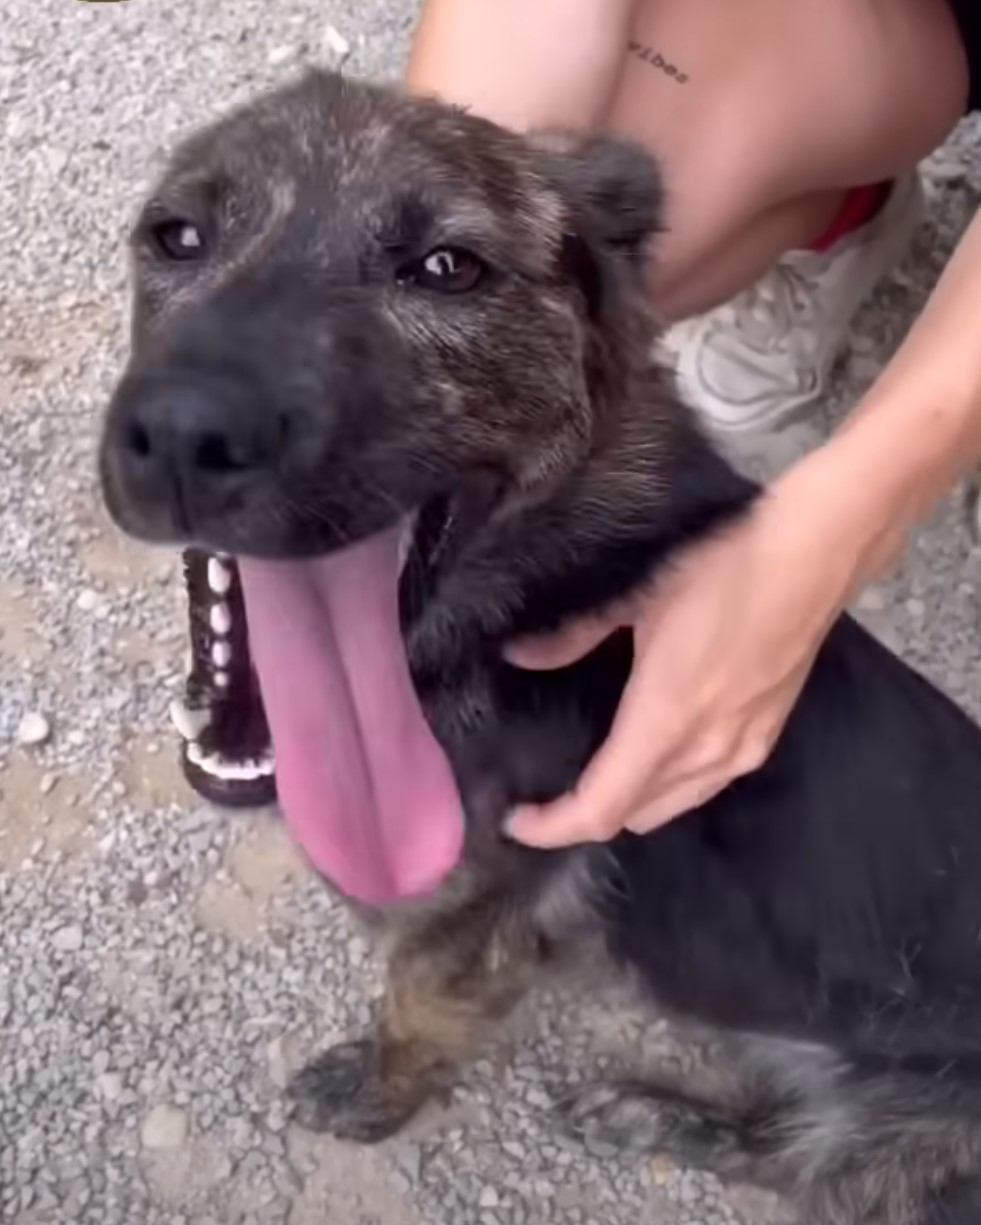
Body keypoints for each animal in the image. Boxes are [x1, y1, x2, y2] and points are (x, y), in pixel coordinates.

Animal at [99, 69, 981, 1225]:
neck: (514, 610)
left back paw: (653, 1112)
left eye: (447, 267)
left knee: (801, 1160)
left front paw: (375, 1095)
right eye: (178, 235)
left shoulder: (472, 930)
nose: (183, 434)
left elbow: (414, 1015)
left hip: (903, 1121)